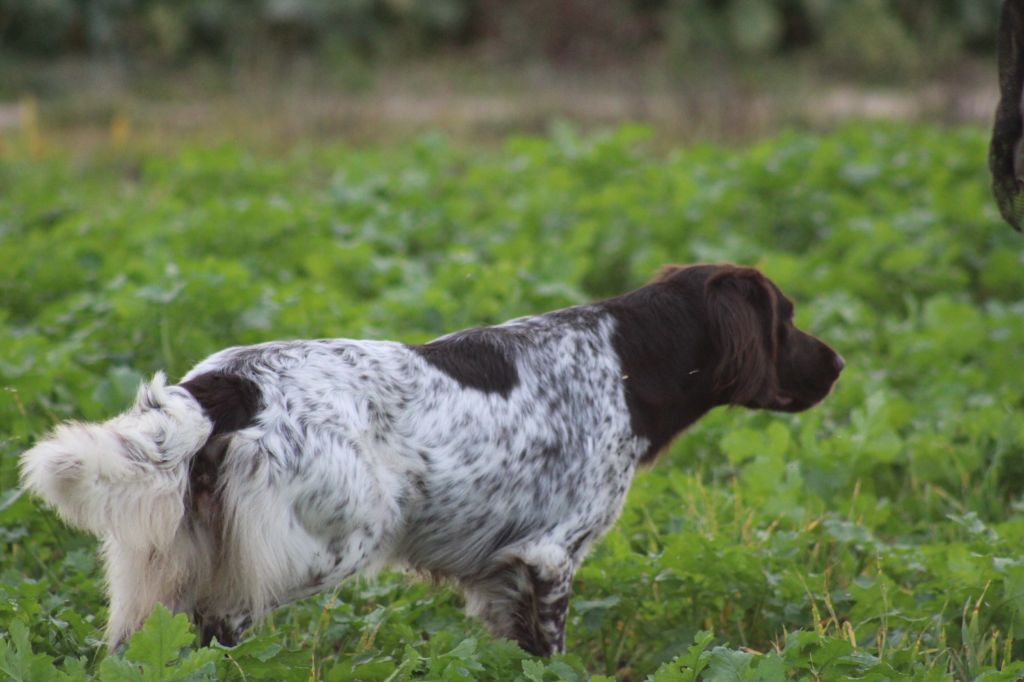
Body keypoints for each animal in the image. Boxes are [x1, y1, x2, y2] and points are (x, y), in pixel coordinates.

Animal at [22, 261, 839, 655]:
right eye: (788, 318)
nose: (838, 365)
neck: (627, 364)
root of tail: (226, 386)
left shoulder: (503, 576)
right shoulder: (550, 558)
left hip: (171, 560)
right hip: (318, 550)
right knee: (217, 632)